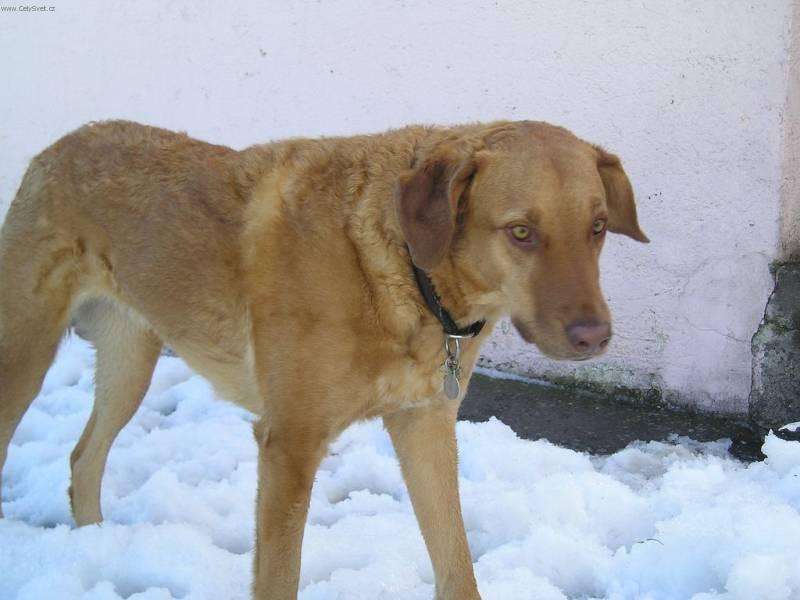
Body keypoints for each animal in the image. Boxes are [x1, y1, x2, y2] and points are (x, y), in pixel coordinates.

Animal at [0, 119, 648, 596]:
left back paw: (93, 544)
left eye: (597, 227)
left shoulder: (425, 425)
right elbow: (279, 579)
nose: (596, 337)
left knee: (84, 457)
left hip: (131, 360)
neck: (401, 267)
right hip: (23, 357)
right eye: (520, 232)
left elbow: (457, 564)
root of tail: (56, 147)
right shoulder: (290, 445)